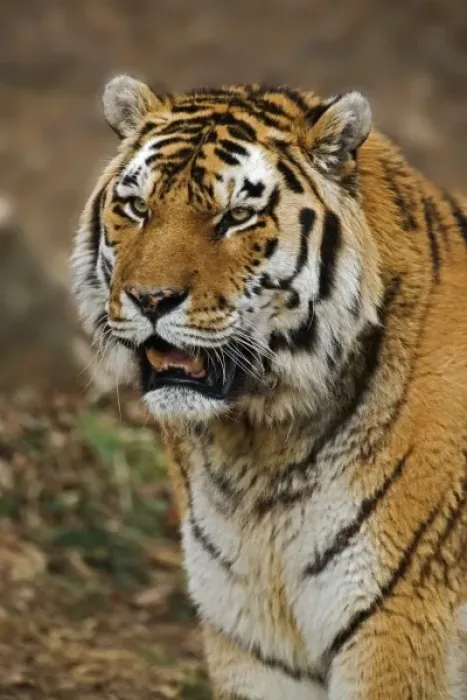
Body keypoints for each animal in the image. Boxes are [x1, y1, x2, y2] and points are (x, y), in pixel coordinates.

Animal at [71, 74, 467, 699]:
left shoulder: (400, 625)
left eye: (236, 216)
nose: (151, 299)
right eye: (137, 208)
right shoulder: (253, 642)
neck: (257, 456)